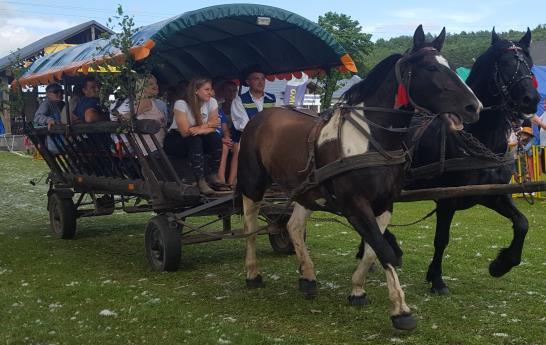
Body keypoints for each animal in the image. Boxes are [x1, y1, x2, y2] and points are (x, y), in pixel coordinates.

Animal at [236, 25, 478, 330]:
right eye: (432, 67)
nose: (474, 107)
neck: (371, 140)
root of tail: (261, 117)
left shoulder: (384, 204)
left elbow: (375, 248)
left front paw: (358, 290)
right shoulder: (355, 205)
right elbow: (383, 249)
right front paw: (401, 310)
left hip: (305, 190)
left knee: (293, 226)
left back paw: (307, 277)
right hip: (253, 184)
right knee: (250, 225)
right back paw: (252, 274)